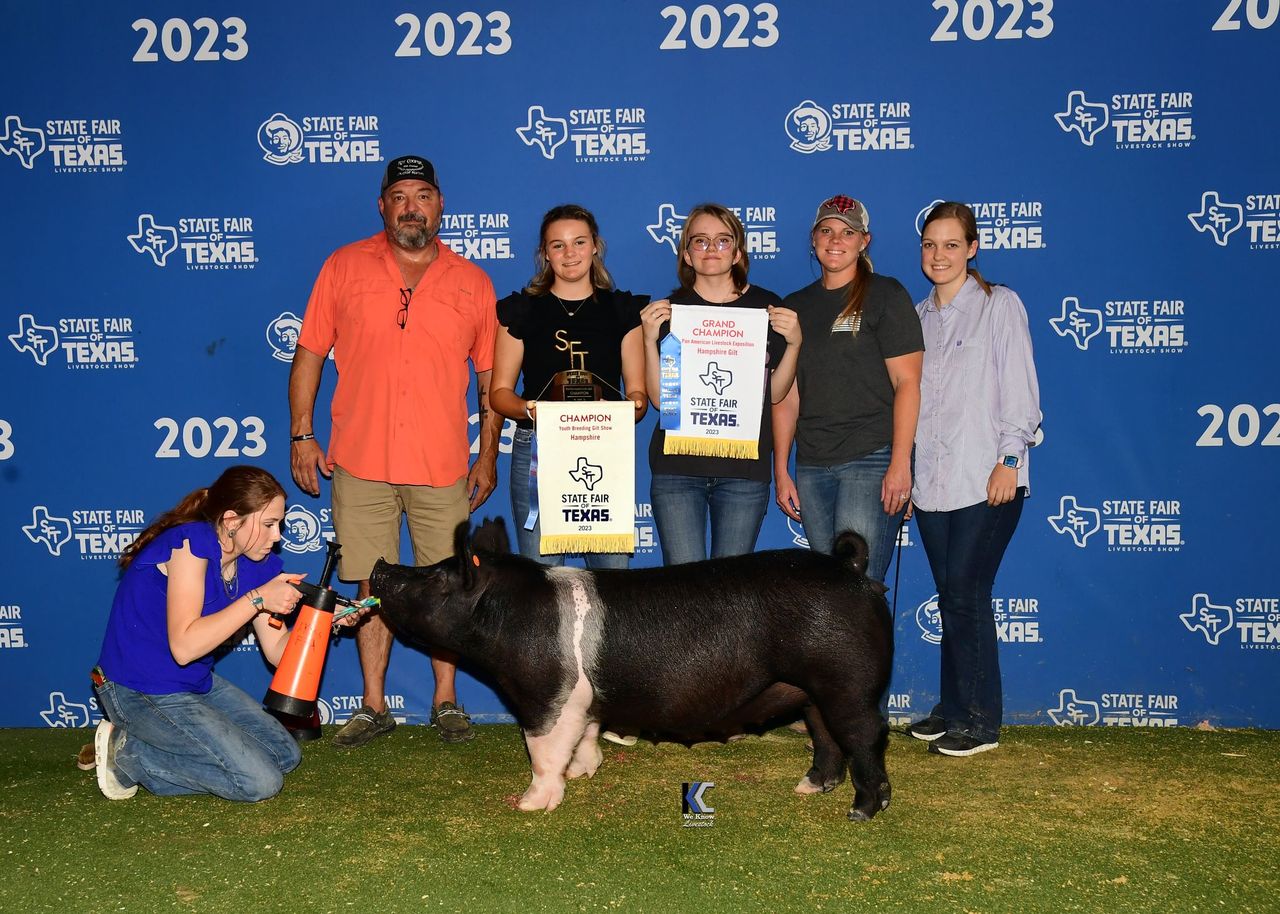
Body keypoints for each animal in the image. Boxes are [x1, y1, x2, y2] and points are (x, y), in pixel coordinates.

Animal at [370, 518, 893, 821]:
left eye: (435, 577)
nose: (380, 566)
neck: (504, 619)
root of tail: (853, 571)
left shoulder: (547, 694)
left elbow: (542, 749)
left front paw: (530, 804)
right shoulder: (583, 699)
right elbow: (584, 735)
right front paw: (583, 771)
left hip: (848, 681)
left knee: (865, 735)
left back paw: (862, 812)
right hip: (811, 688)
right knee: (825, 734)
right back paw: (809, 788)